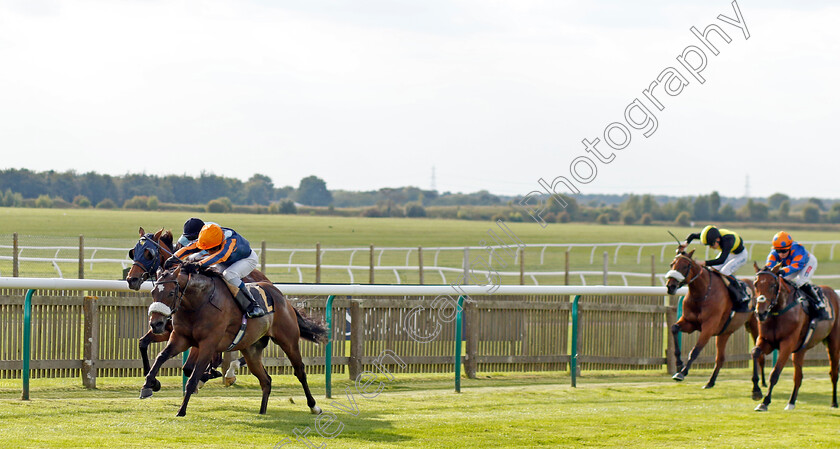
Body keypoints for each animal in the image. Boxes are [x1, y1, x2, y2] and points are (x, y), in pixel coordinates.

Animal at [139, 262, 326, 416]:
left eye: (171, 292)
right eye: (153, 292)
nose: (156, 323)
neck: (198, 303)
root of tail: (281, 297)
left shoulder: (208, 345)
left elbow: (192, 377)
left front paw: (181, 410)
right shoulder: (180, 338)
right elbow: (161, 357)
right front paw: (149, 385)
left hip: (288, 341)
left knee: (300, 371)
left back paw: (314, 406)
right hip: (251, 350)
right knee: (266, 380)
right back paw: (262, 411)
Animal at [668, 247, 764, 398]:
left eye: (684, 266)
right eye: (672, 264)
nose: (670, 286)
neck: (702, 293)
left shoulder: (708, 327)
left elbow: (695, 351)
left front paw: (682, 373)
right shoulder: (690, 323)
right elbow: (674, 328)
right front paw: (678, 363)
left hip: (755, 327)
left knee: (756, 352)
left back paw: (758, 387)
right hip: (724, 332)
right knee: (721, 358)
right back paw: (710, 382)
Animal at [752, 264, 836, 412]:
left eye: (773, 285)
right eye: (755, 284)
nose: (760, 313)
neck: (779, 310)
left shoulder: (787, 344)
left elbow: (774, 373)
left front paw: (765, 402)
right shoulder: (766, 341)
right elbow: (755, 352)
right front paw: (756, 391)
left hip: (834, 342)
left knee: (834, 372)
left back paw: (834, 403)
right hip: (800, 350)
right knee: (798, 376)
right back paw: (791, 402)